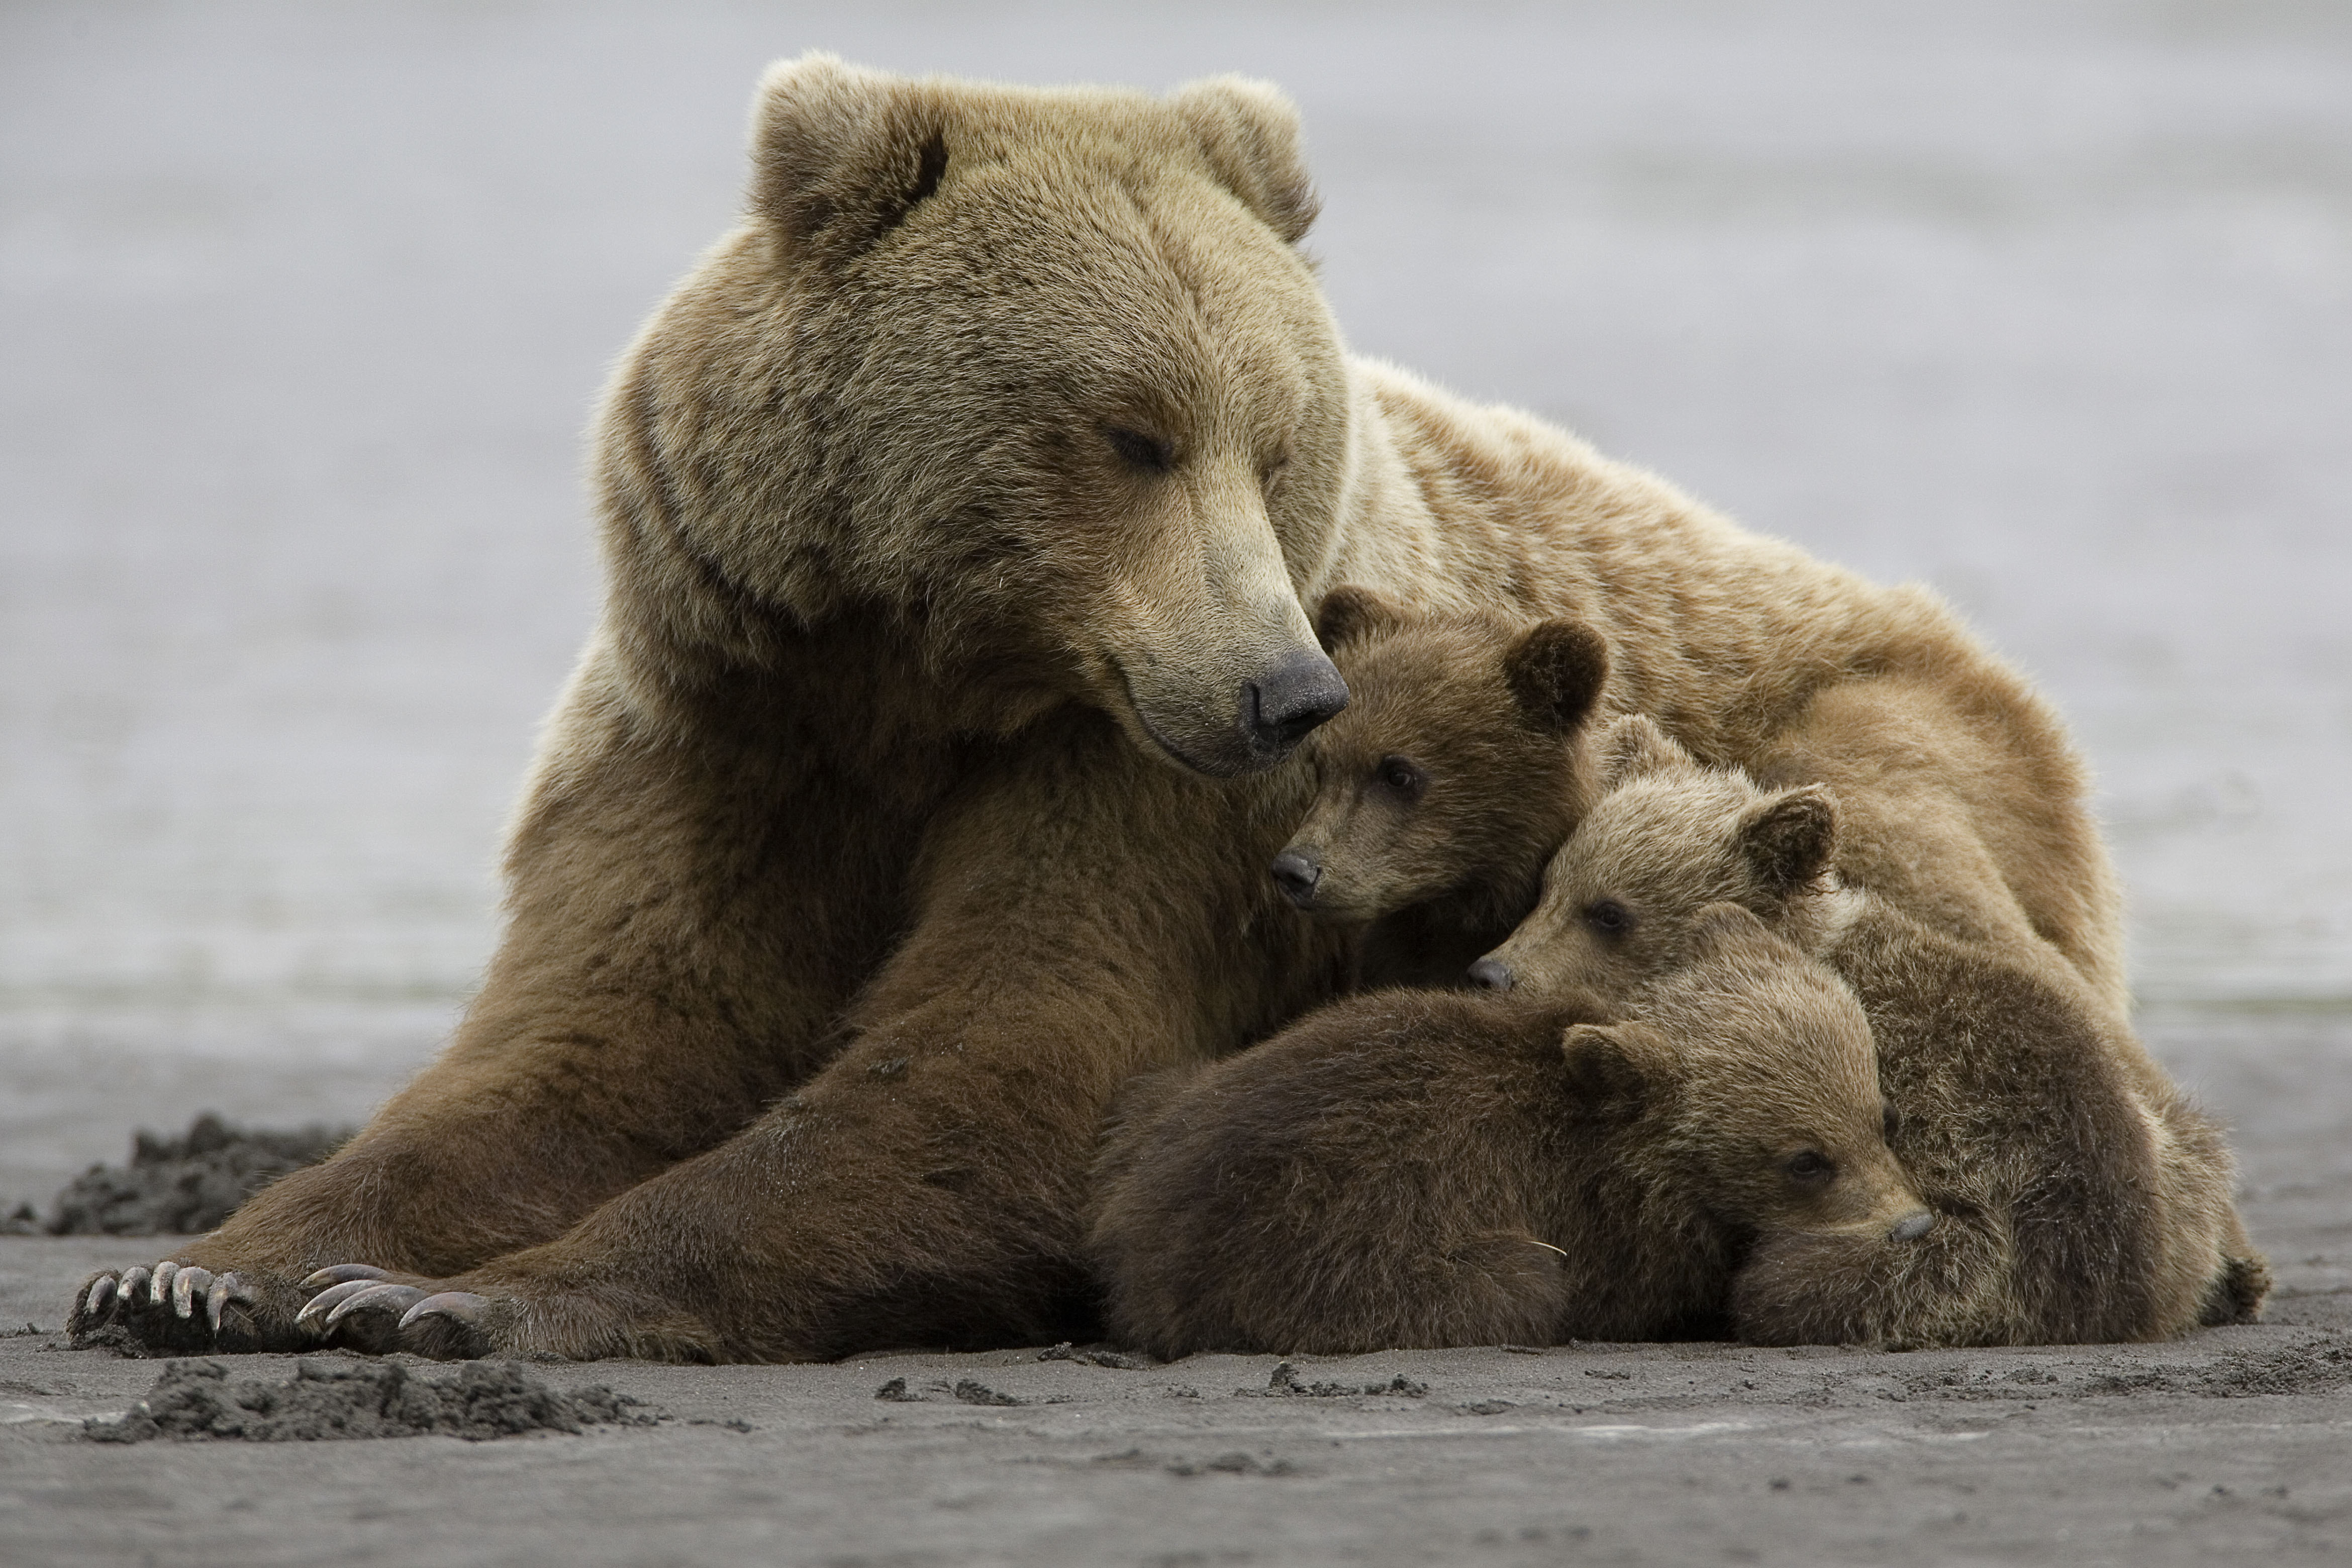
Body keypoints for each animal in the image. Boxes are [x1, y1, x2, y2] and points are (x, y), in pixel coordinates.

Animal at [78, 55, 2135, 1363]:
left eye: (1272, 432)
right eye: (1130, 430)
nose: (1288, 687)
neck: (919, 691)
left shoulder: (1143, 787)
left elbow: (1021, 1043)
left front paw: (475, 1298)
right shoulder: (723, 723)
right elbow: (599, 1036)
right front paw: (208, 1270)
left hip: (1876, 742)